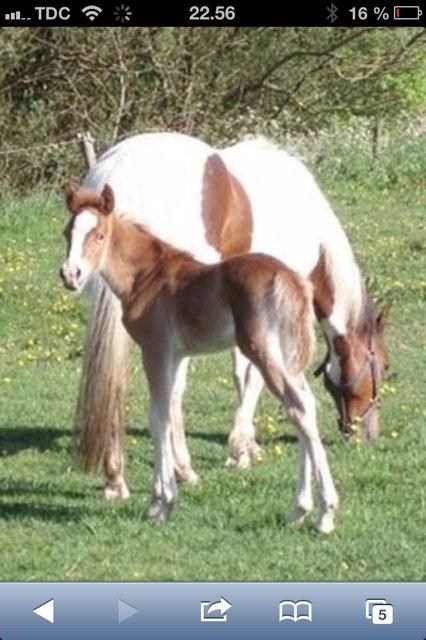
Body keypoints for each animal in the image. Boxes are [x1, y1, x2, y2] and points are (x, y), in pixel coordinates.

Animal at [60, 185, 340, 536]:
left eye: (98, 235)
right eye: (67, 232)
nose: (70, 275)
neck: (147, 276)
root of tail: (293, 280)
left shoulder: (155, 350)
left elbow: (157, 418)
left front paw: (162, 502)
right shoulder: (177, 356)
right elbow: (169, 411)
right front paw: (164, 494)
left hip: (262, 352)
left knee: (298, 407)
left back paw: (325, 514)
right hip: (288, 357)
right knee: (306, 406)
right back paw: (299, 510)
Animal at [72, 132, 386, 504]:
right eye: (383, 367)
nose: (368, 434)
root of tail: (119, 170)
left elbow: (241, 374)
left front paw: (245, 445)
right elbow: (254, 377)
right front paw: (242, 448)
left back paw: (116, 477)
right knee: (173, 392)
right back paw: (182, 469)